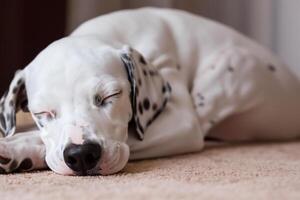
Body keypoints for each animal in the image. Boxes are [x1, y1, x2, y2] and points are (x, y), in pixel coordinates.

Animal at [0, 7, 300, 175]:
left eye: (110, 96)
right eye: (43, 112)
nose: (81, 155)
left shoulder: (181, 122)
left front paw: (17, 148)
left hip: (232, 65)